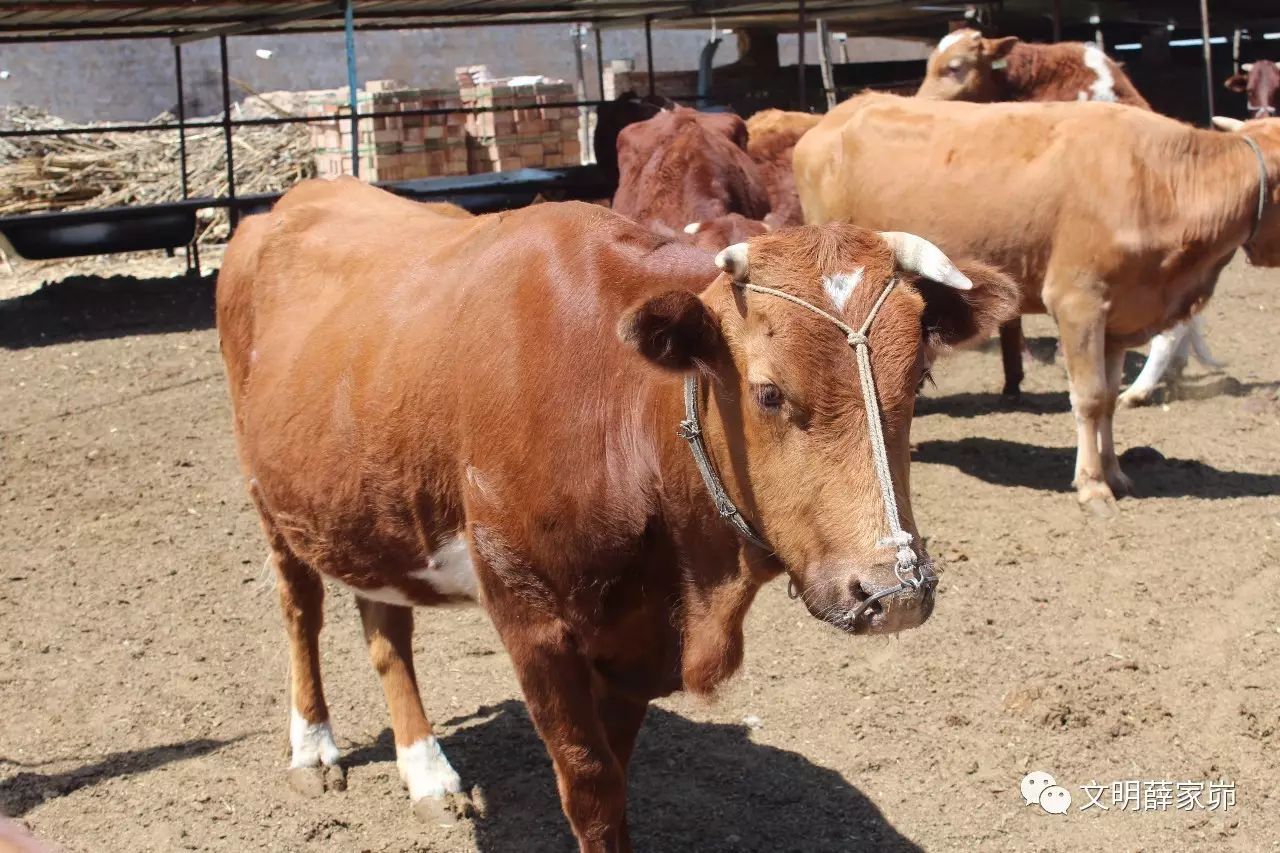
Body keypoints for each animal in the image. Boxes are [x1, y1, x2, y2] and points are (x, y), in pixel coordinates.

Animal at [220, 175, 1018, 845]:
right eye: (767, 392)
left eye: (918, 377)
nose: (894, 589)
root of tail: (292, 200)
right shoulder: (530, 613)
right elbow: (590, 783)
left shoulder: (636, 640)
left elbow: (619, 771)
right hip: (270, 499)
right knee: (301, 609)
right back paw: (313, 745)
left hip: (372, 498)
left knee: (386, 622)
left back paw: (425, 769)